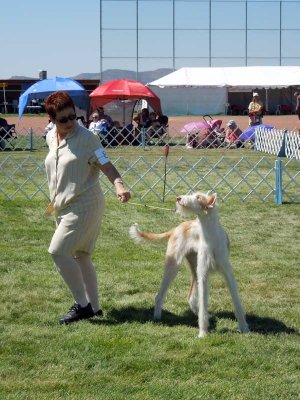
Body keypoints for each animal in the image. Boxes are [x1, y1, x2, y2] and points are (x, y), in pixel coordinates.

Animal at [129, 192, 248, 336]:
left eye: (198, 197)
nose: (178, 198)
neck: (210, 235)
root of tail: (177, 228)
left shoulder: (227, 274)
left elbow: (237, 302)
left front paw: (244, 327)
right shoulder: (203, 275)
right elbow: (203, 302)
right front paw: (203, 333)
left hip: (193, 269)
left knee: (190, 297)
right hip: (173, 266)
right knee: (160, 296)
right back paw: (157, 317)